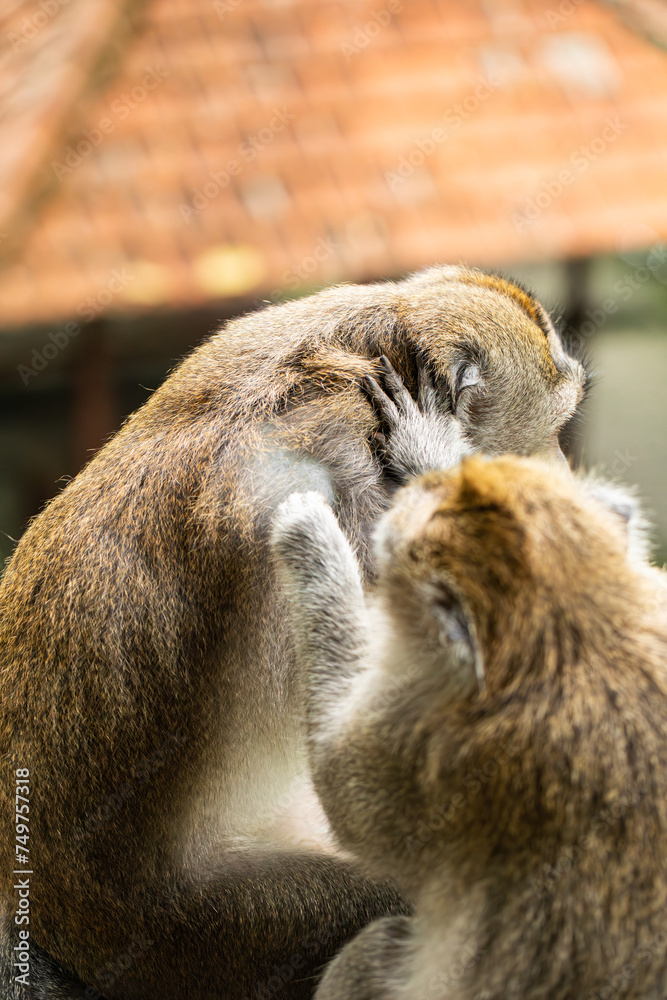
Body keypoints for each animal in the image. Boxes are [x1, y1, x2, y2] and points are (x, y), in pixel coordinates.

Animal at [269, 457, 667, 1000]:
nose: (412, 490)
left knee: (374, 948)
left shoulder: (428, 742)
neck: (582, 631)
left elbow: (344, 792)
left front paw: (311, 540)